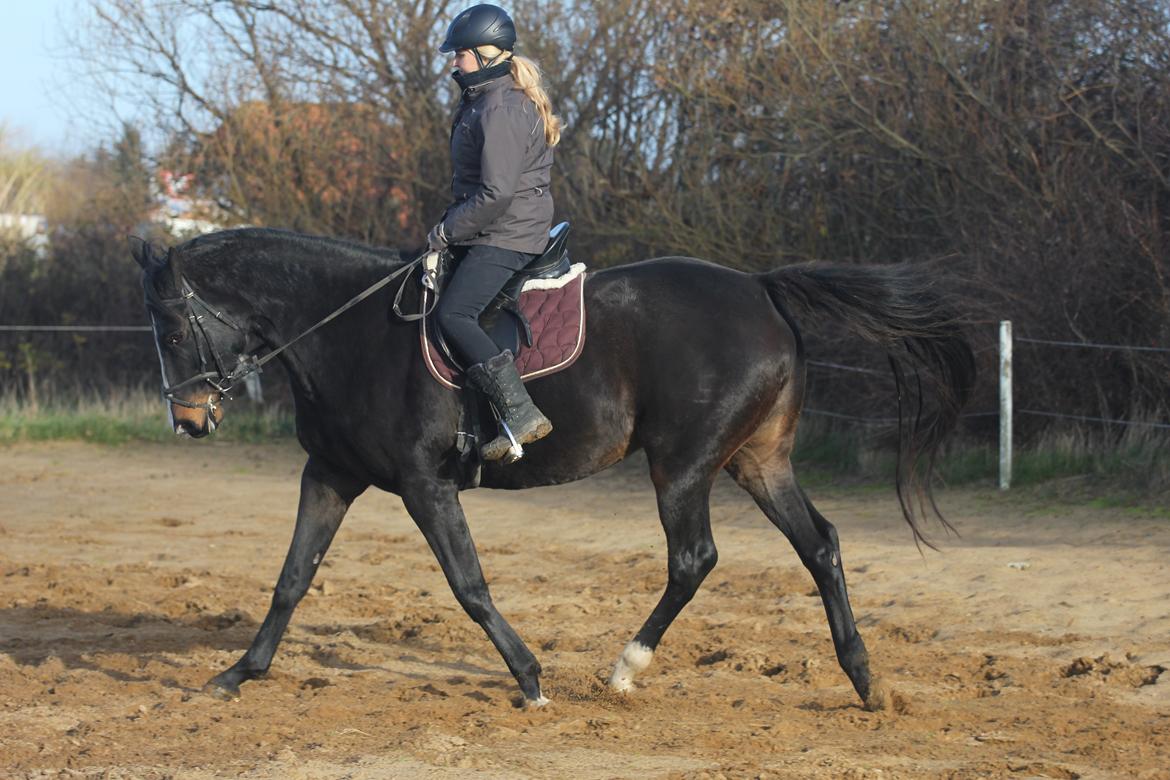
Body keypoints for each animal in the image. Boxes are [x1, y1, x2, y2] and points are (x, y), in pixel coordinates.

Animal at [132, 226, 978, 715]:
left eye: (171, 328)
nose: (189, 420)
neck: (350, 327)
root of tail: (760, 289)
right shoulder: (332, 473)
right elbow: (292, 577)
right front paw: (238, 673)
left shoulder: (423, 483)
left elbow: (469, 585)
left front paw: (531, 680)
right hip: (755, 460)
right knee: (821, 546)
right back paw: (865, 682)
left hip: (684, 463)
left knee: (693, 559)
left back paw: (625, 670)